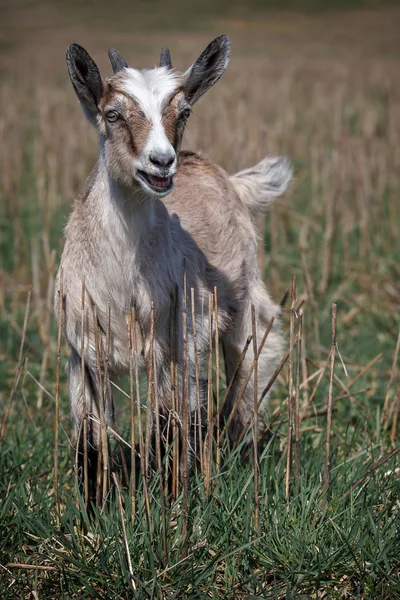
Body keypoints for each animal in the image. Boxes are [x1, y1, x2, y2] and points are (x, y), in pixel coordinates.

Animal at [56, 36, 292, 492]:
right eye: (112, 114)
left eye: (183, 112)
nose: (162, 162)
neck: (121, 282)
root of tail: (225, 176)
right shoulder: (84, 351)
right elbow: (90, 440)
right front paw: (92, 508)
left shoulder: (174, 344)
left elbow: (168, 427)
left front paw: (171, 495)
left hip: (243, 298)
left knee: (254, 358)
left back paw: (241, 447)